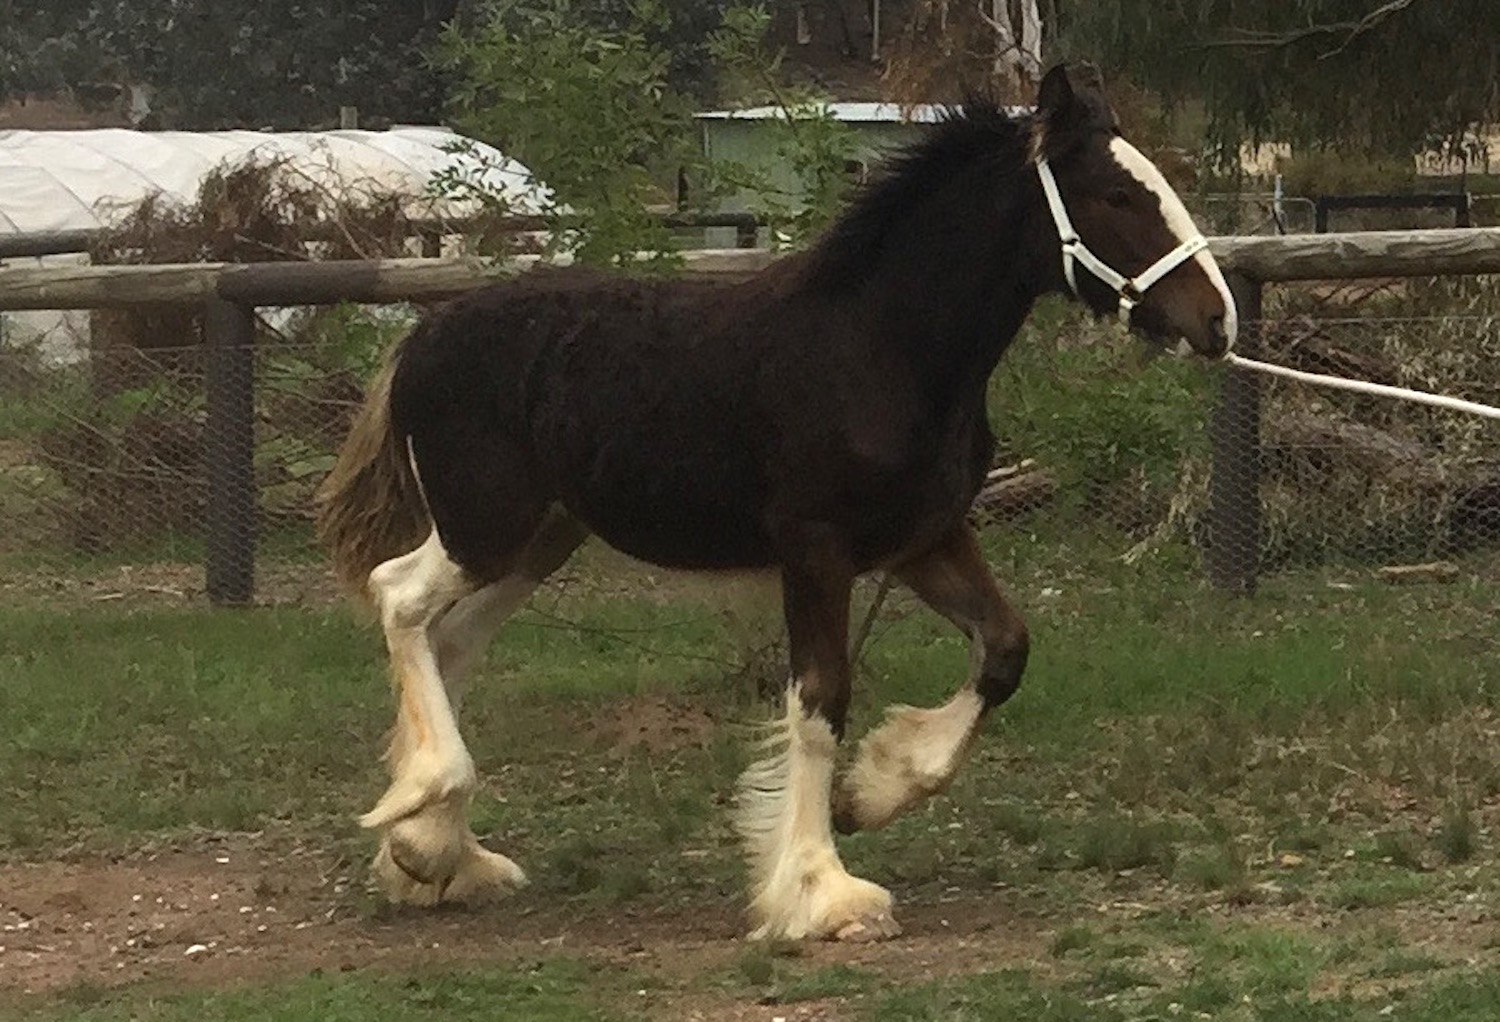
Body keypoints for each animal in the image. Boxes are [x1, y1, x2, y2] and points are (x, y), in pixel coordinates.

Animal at [313, 65, 1230, 942]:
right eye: (1116, 195)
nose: (1216, 321)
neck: (878, 349)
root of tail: (420, 337)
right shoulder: (816, 548)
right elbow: (821, 701)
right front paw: (824, 894)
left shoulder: (924, 539)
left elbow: (1005, 649)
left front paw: (875, 792)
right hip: (485, 527)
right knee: (401, 599)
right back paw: (427, 811)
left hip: (539, 541)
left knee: (450, 638)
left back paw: (434, 853)